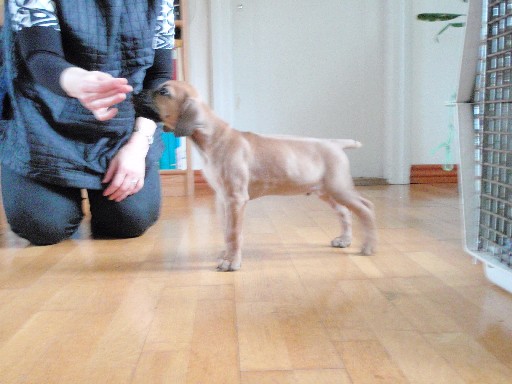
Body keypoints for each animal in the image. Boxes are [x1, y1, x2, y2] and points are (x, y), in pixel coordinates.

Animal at [152, 80, 376, 270]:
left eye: (164, 92)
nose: (144, 90)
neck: (215, 137)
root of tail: (335, 144)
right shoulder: (223, 199)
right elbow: (227, 232)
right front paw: (227, 254)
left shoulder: (235, 199)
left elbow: (234, 233)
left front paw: (231, 261)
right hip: (326, 192)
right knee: (345, 212)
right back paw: (345, 240)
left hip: (339, 188)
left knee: (366, 208)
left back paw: (369, 246)